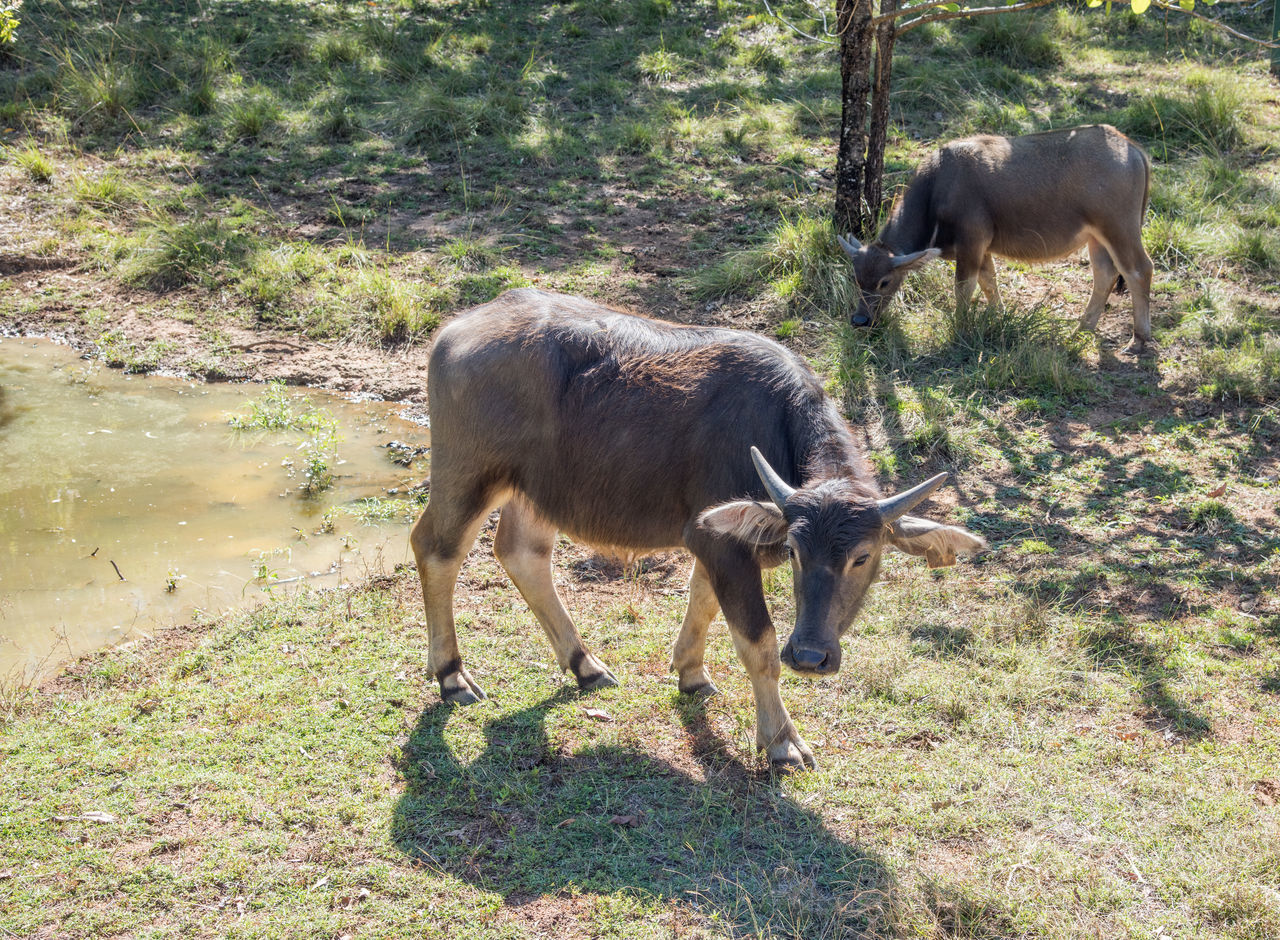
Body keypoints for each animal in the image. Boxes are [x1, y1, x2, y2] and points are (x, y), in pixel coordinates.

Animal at [414, 289, 983, 773]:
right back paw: (452, 675)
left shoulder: (718, 544)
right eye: (795, 551)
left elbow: (703, 600)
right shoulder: (721, 544)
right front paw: (782, 741)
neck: (775, 424)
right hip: (466, 475)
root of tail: (457, 329)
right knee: (436, 549)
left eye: (863, 556)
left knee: (522, 553)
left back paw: (585, 665)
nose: (809, 657)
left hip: (536, 492)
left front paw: (691, 671)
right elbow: (757, 641)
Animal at [834, 126, 1157, 356]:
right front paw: (999, 318)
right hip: (1096, 238)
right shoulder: (982, 250)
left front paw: (960, 328)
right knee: (1105, 274)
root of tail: (1132, 149)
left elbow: (964, 288)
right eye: (856, 278)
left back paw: (1138, 340)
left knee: (1139, 269)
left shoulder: (971, 244)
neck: (937, 188)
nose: (860, 321)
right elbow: (989, 282)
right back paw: (1081, 330)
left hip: (1119, 228)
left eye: (885, 282)